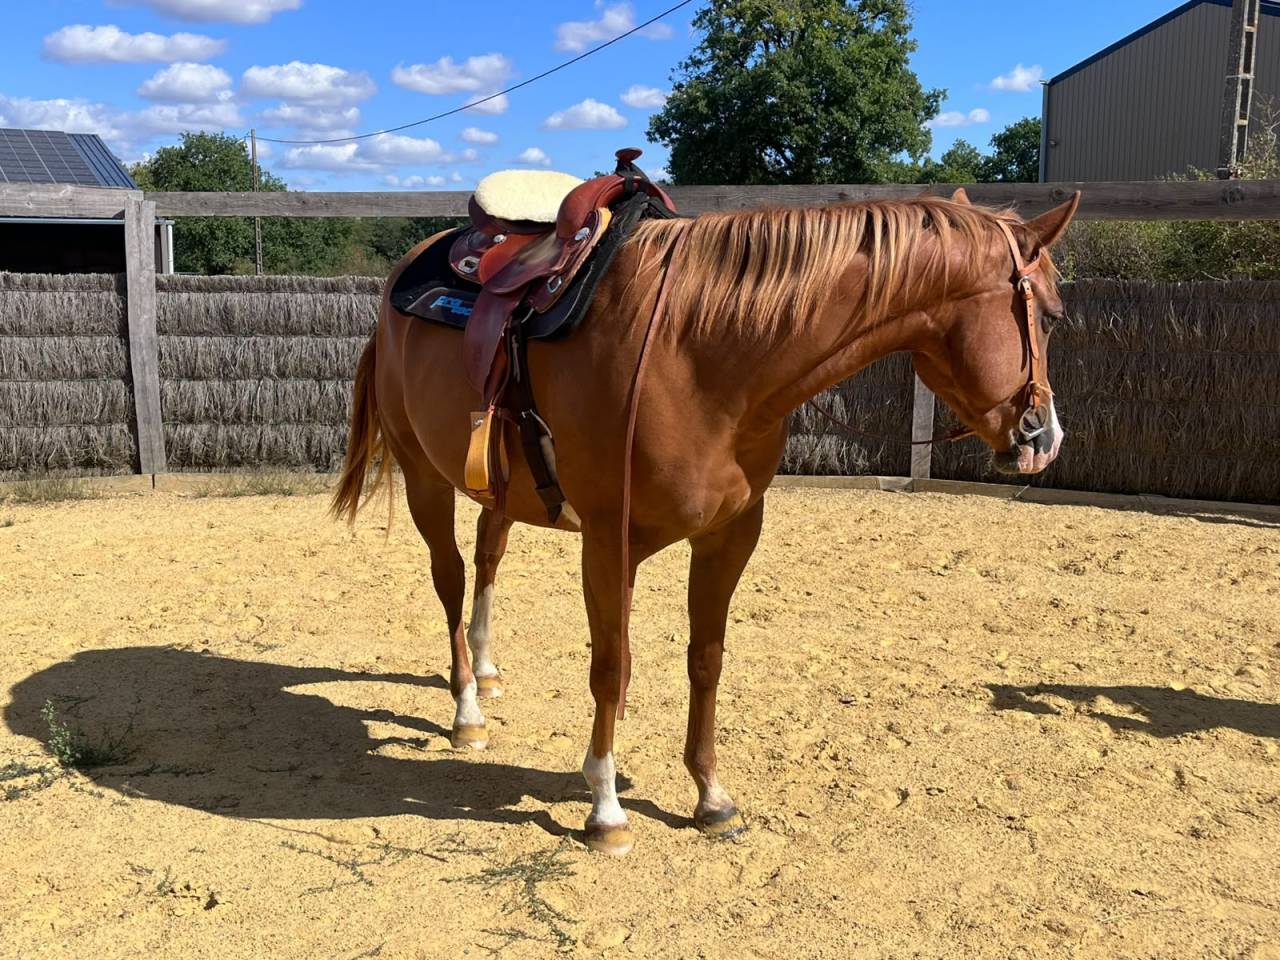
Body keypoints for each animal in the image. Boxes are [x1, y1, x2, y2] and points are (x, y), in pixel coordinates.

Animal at [331, 188, 1080, 856]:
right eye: (1048, 315)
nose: (1045, 440)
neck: (700, 353)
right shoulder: (609, 541)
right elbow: (613, 668)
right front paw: (605, 809)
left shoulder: (731, 535)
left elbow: (706, 659)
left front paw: (711, 798)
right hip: (426, 478)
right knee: (451, 580)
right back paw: (466, 709)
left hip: (500, 491)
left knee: (488, 560)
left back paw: (486, 672)